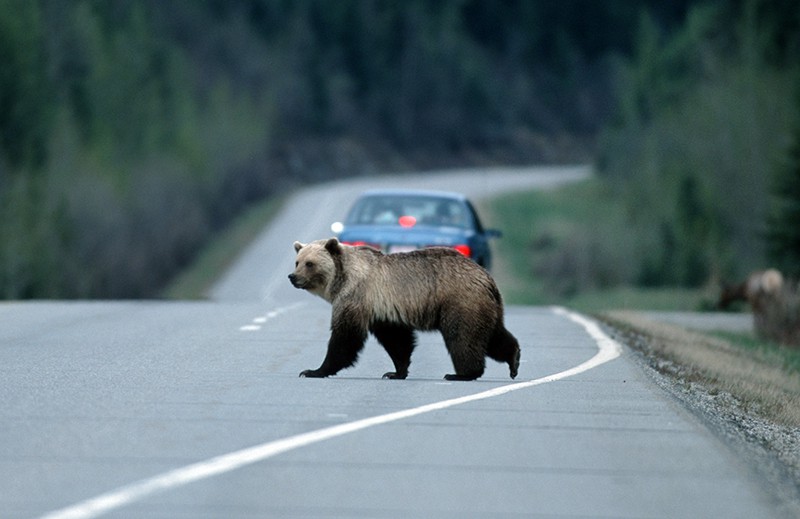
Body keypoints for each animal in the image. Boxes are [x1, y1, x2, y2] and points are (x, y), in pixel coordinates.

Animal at [288, 239, 520, 382]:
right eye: (297, 261)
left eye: (310, 263)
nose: (293, 277)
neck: (341, 278)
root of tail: (486, 277)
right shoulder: (382, 309)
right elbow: (396, 341)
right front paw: (395, 372)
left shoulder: (356, 296)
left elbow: (345, 337)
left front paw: (313, 370)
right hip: (484, 306)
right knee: (494, 336)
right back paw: (514, 360)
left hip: (460, 302)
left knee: (463, 337)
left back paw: (461, 374)